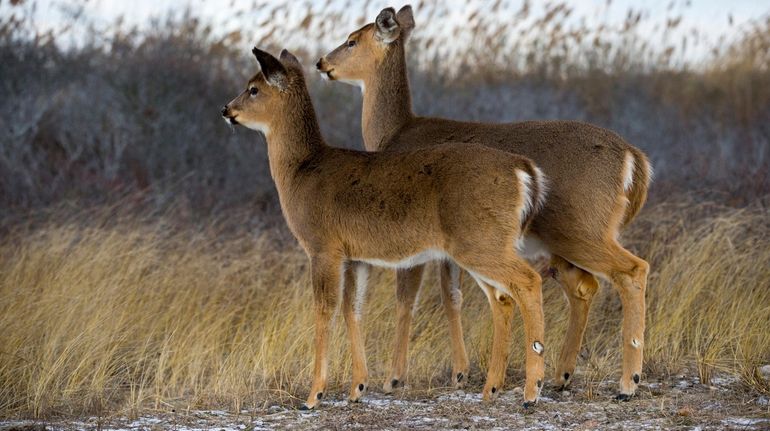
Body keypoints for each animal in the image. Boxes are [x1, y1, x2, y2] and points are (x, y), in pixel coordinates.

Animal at [220, 49, 544, 410]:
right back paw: (491, 388)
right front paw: (357, 388)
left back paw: (532, 391)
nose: (226, 110)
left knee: (529, 281)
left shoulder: (323, 246)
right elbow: (353, 309)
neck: (301, 171)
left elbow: (324, 310)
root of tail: (523, 169)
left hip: (479, 241)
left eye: (253, 88)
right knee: (502, 298)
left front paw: (314, 394)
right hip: (483, 243)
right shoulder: (356, 256)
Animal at [316, 4, 652, 402]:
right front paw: (461, 373)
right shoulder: (447, 246)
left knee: (631, 271)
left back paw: (626, 383)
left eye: (352, 40)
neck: (394, 133)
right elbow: (453, 296)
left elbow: (406, 299)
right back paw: (562, 376)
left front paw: (394, 379)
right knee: (586, 286)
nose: (322, 63)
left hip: (582, 228)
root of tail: (634, 157)